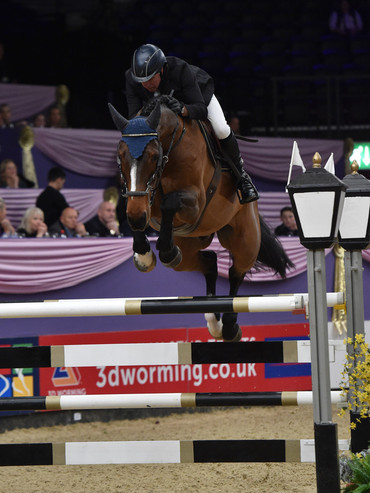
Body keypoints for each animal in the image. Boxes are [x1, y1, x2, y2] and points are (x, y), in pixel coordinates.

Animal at [108, 96, 294, 342]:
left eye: (154, 156)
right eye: (120, 157)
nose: (137, 218)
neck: (172, 145)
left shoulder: (195, 202)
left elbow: (169, 202)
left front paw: (164, 250)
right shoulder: (141, 201)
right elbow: (140, 208)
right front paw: (145, 255)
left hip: (244, 238)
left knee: (236, 273)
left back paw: (229, 326)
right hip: (189, 247)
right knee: (209, 262)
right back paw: (213, 318)